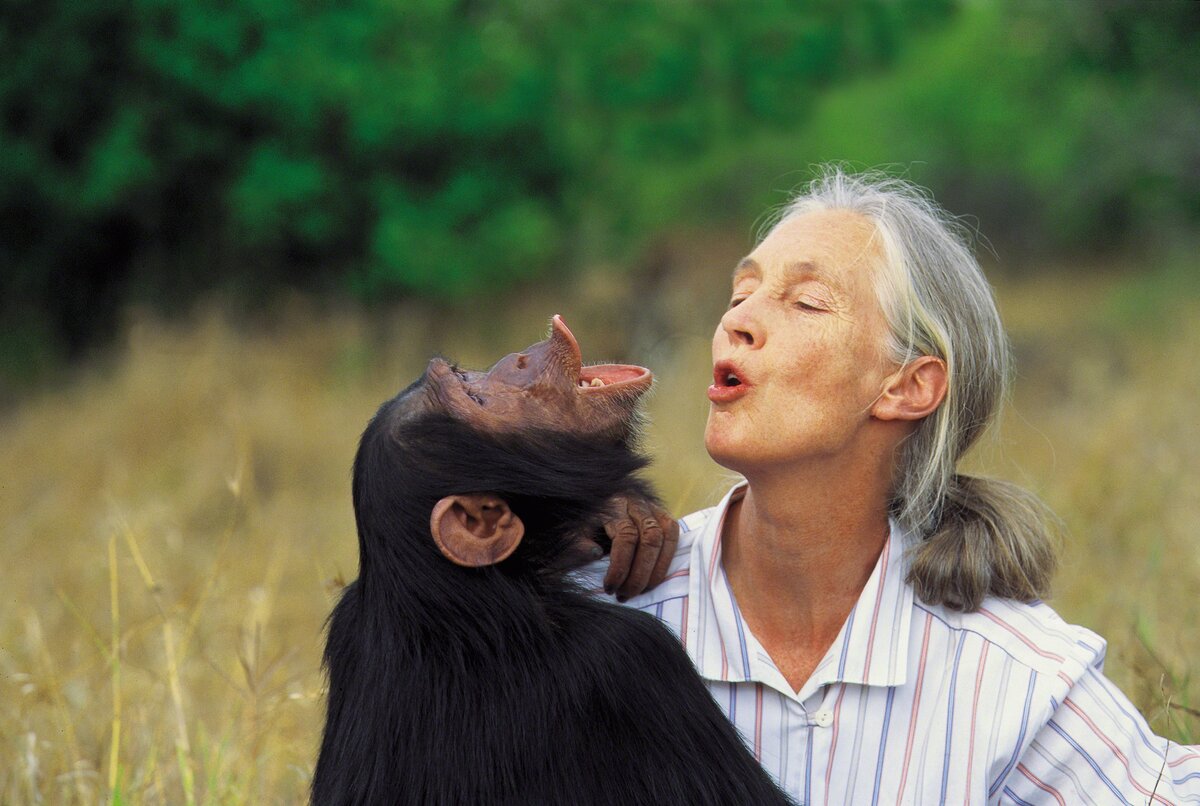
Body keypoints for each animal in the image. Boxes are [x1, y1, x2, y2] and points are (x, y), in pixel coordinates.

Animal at [314, 314, 792, 806]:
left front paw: (627, 514)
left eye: (465, 380)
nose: (518, 360)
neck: (455, 596)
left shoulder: (351, 622)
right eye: (477, 401)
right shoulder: (631, 658)